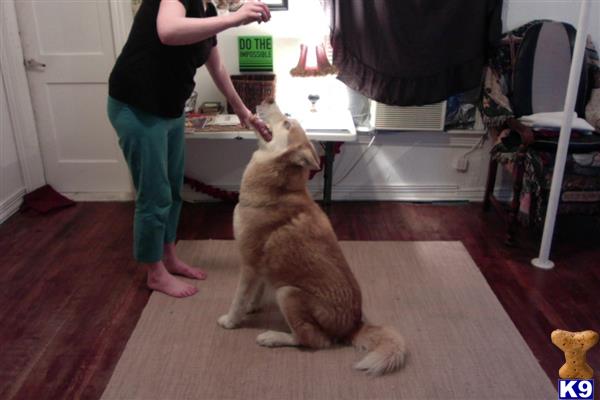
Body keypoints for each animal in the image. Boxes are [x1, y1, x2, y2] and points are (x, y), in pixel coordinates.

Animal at [217, 99, 408, 376]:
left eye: (287, 123)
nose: (267, 99)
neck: (278, 188)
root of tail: (353, 325)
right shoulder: (262, 267)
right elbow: (255, 291)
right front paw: (253, 306)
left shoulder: (250, 265)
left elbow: (238, 300)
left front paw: (232, 321)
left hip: (287, 293)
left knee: (312, 340)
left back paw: (272, 337)